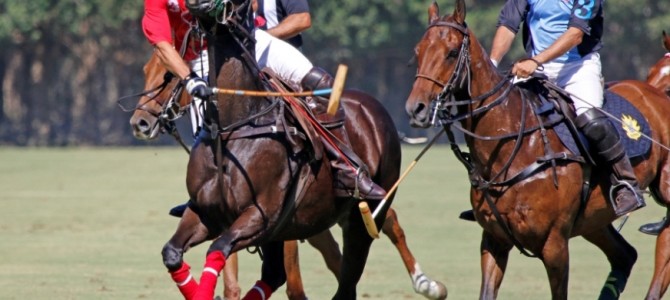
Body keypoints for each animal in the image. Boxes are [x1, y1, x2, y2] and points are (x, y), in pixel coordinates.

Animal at [404, 1, 670, 298]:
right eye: (418, 51)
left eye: (451, 53)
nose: (416, 109)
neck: (512, 148)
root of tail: (658, 94)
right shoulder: (494, 240)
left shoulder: (555, 244)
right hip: (595, 219)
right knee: (625, 255)